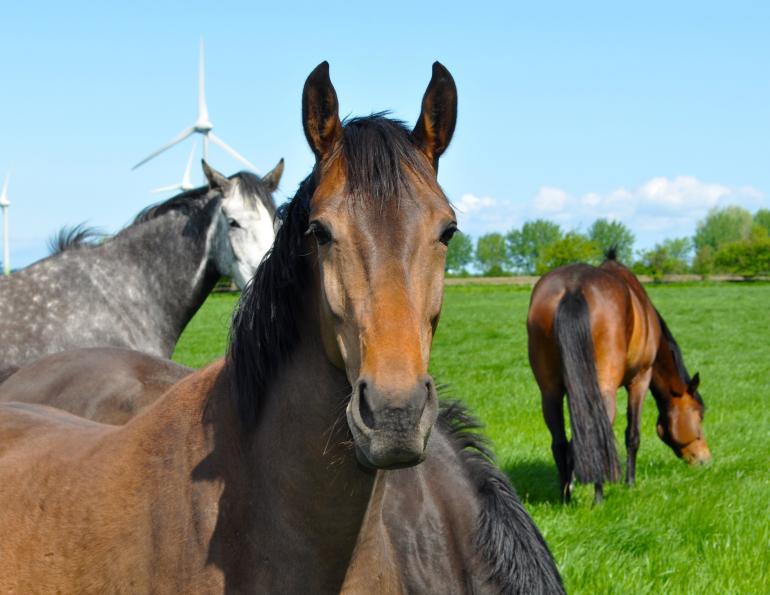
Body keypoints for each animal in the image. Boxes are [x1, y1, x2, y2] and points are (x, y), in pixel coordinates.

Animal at [526, 249, 711, 503]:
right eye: (699, 415)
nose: (705, 459)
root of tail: (573, 288)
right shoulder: (641, 379)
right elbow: (632, 434)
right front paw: (630, 483)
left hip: (550, 392)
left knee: (560, 442)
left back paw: (566, 497)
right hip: (604, 388)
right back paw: (598, 498)